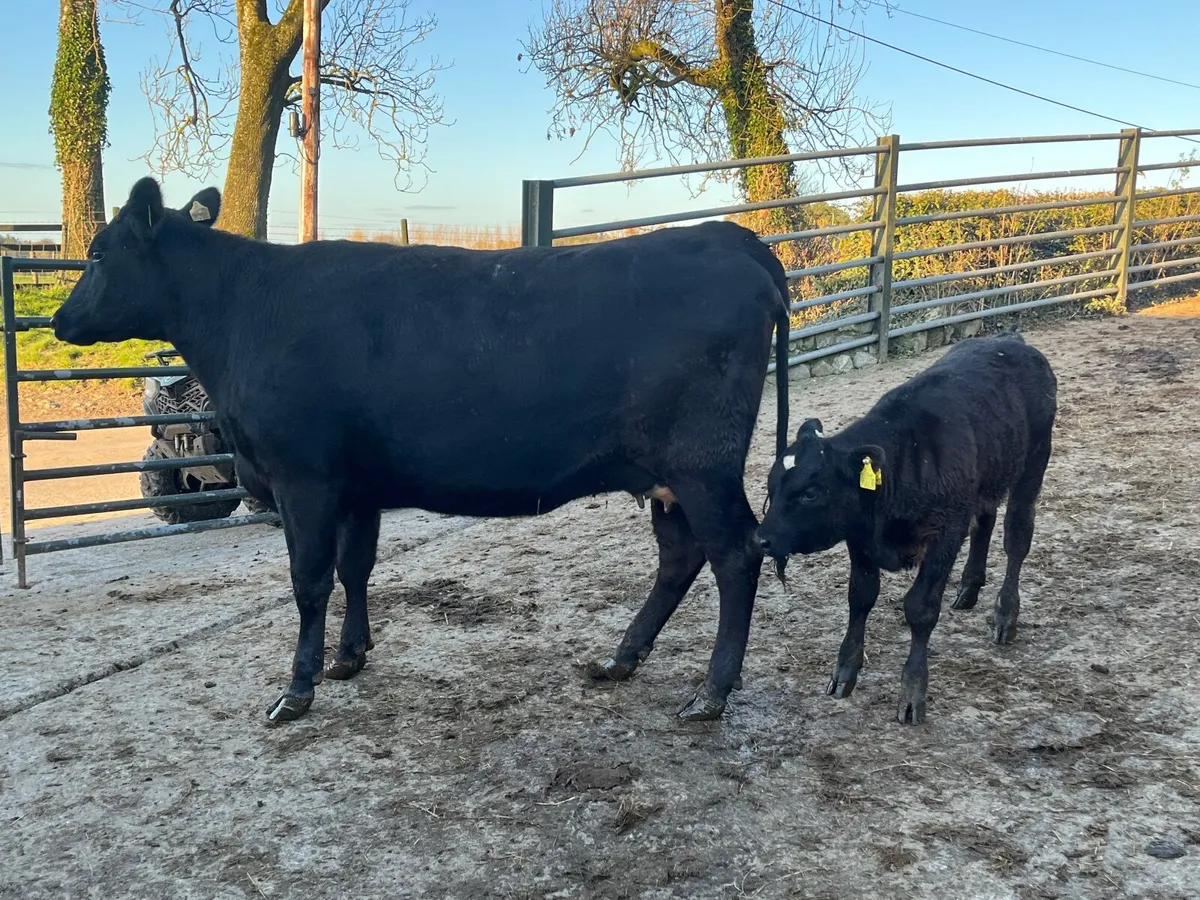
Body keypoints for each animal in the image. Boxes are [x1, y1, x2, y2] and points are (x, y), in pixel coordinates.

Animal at [51, 177, 792, 725]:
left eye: (98, 253)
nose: (59, 320)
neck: (242, 312)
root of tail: (730, 238)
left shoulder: (303, 478)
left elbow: (309, 580)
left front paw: (297, 690)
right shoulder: (357, 485)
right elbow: (355, 568)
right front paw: (350, 657)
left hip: (703, 466)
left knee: (734, 556)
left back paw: (711, 693)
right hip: (667, 476)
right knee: (681, 557)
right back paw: (622, 659)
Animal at [756, 331, 1057, 725]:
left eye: (810, 492)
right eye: (771, 485)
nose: (761, 539)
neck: (905, 461)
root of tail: (1010, 339)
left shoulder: (946, 533)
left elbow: (920, 609)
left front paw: (913, 692)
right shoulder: (861, 539)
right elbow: (860, 597)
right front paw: (845, 671)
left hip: (1032, 467)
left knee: (1017, 538)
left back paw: (1005, 615)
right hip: (988, 479)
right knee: (985, 523)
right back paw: (969, 588)